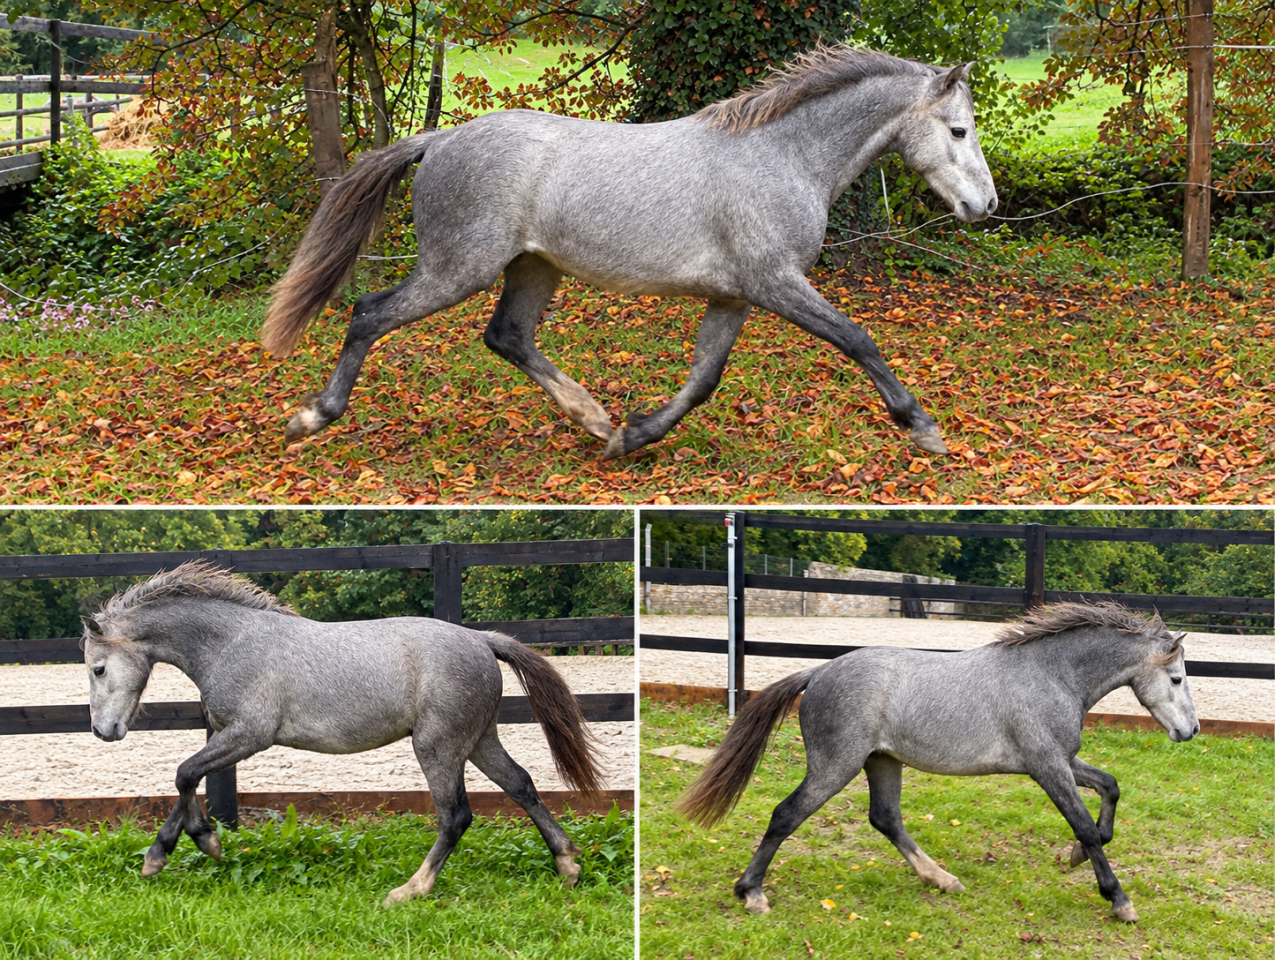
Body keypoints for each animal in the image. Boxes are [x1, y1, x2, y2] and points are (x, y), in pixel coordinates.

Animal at [82, 561, 605, 906]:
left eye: (98, 667)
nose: (104, 731)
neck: (232, 643)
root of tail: (481, 639)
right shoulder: (228, 734)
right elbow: (188, 778)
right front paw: (183, 847)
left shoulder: (249, 733)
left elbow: (185, 773)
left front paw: (186, 847)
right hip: (478, 741)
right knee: (521, 785)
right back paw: (569, 865)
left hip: (437, 745)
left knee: (455, 816)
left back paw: (409, 890)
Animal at [263, 44, 997, 460]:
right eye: (958, 130)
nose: (985, 207)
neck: (782, 157)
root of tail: (440, 139)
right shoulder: (776, 282)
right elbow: (857, 339)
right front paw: (923, 429)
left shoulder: (734, 297)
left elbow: (703, 381)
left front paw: (632, 437)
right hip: (458, 268)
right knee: (369, 312)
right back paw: (310, 418)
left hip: (533, 268)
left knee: (506, 336)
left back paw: (591, 420)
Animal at [677, 603, 1199, 923]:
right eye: (1176, 678)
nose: (1190, 731)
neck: (1050, 676)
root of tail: (819, 670)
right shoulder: (1047, 765)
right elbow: (1086, 826)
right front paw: (1119, 900)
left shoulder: (1061, 760)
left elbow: (1110, 787)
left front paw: (1071, 859)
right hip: (836, 765)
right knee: (786, 815)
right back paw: (752, 894)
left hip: (882, 761)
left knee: (885, 817)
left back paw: (942, 879)